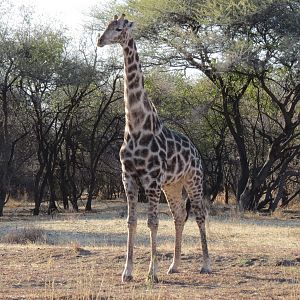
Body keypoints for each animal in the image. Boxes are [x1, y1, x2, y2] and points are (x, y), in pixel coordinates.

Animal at [96, 14, 211, 284]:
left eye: (119, 28)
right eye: (105, 27)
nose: (99, 41)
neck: (136, 125)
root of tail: (196, 151)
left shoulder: (151, 179)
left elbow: (153, 222)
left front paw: (151, 273)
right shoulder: (128, 177)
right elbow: (131, 222)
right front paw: (127, 272)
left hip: (193, 180)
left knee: (199, 215)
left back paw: (205, 264)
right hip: (173, 185)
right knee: (179, 215)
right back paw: (174, 265)